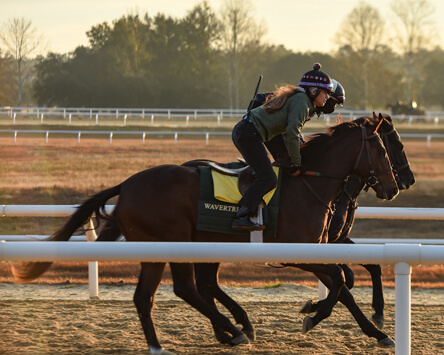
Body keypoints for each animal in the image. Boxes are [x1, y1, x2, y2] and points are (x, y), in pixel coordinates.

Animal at [11, 116, 398, 354]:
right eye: (383, 149)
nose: (395, 186)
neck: (309, 183)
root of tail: (128, 184)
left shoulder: (317, 249)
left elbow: (342, 285)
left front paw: (372, 330)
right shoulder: (295, 252)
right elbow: (341, 283)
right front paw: (317, 316)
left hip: (181, 244)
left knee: (169, 293)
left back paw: (215, 332)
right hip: (171, 241)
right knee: (183, 289)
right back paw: (232, 330)